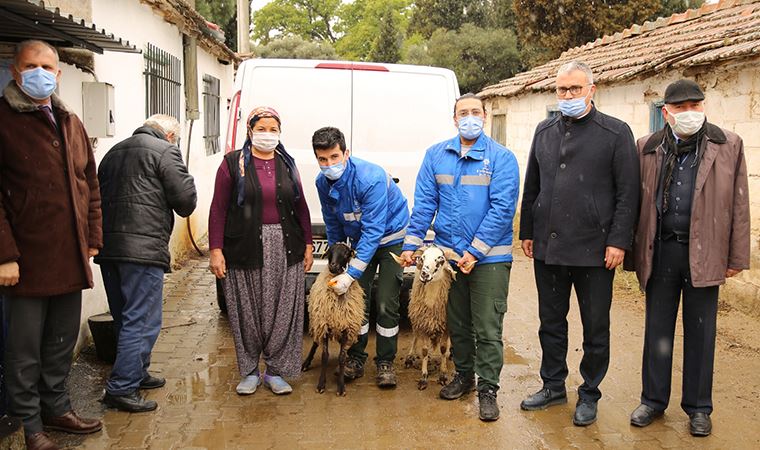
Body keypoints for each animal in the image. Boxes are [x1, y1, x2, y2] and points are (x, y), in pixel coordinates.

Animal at [300, 244, 366, 396]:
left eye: (346, 253)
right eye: (330, 251)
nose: (333, 266)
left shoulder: (347, 327)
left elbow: (341, 357)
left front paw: (341, 386)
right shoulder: (324, 326)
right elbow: (324, 355)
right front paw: (321, 384)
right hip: (317, 322)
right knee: (315, 343)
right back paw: (306, 363)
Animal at [394, 246, 466, 390]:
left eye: (441, 260)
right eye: (422, 258)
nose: (424, 274)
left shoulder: (446, 326)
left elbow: (443, 349)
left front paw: (443, 375)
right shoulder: (423, 324)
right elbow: (425, 350)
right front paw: (423, 377)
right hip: (415, 317)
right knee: (415, 336)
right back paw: (410, 357)